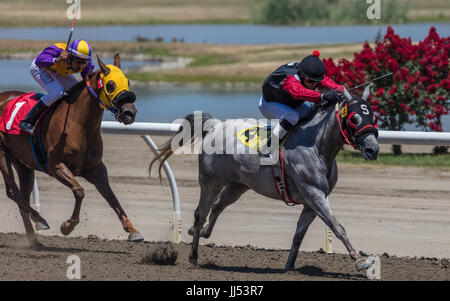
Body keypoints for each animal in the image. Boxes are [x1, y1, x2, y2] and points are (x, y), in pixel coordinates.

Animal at [0, 53, 143, 248]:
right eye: (110, 85)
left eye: (128, 82)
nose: (130, 113)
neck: (79, 125)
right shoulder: (56, 166)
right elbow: (79, 191)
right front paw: (67, 226)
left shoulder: (96, 169)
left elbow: (111, 196)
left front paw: (133, 230)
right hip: (2, 155)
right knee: (13, 192)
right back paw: (40, 220)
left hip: (23, 164)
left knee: (21, 196)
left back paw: (35, 240)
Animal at [151, 86, 380, 270]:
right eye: (354, 118)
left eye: (373, 116)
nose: (373, 149)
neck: (317, 148)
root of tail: (215, 126)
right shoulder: (314, 194)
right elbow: (337, 227)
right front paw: (360, 260)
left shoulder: (311, 202)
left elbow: (299, 235)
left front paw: (289, 266)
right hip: (210, 183)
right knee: (201, 213)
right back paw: (193, 255)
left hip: (238, 185)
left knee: (217, 207)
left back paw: (202, 232)